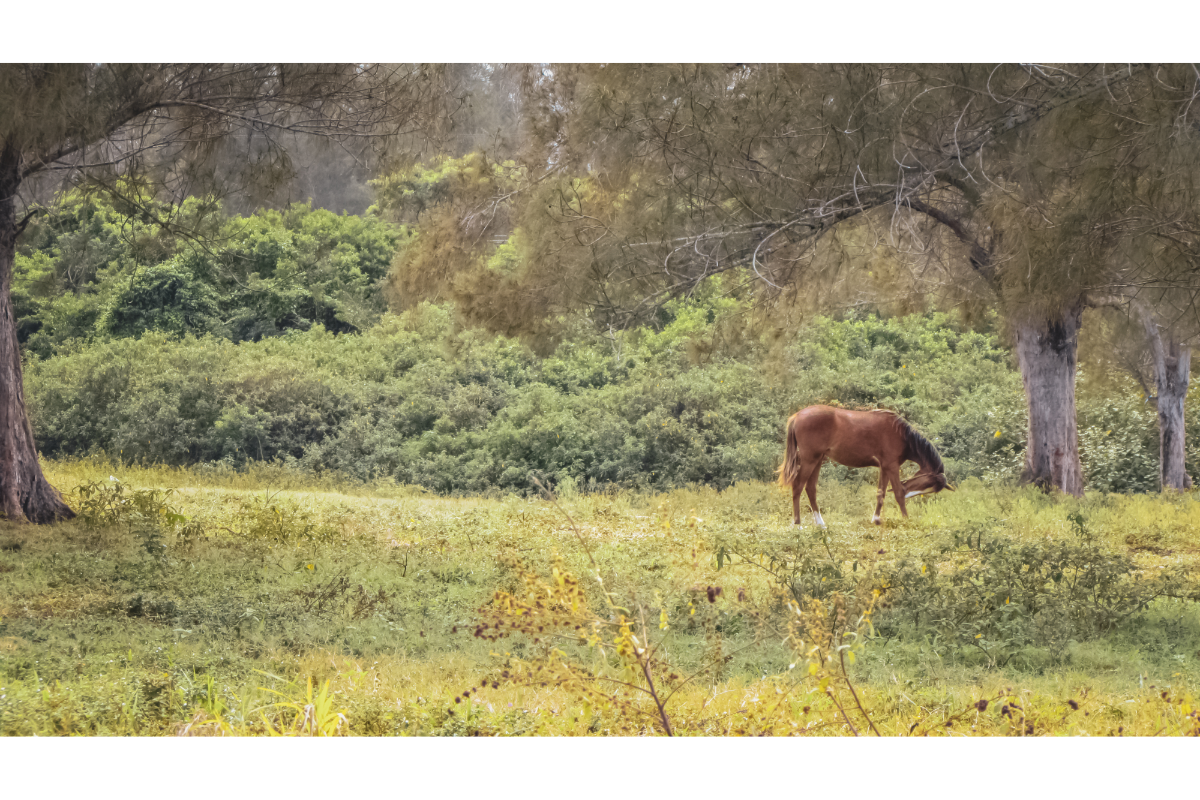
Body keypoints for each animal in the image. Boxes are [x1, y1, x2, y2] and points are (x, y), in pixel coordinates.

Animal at [778, 405, 953, 527]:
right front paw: (906, 520)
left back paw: (820, 523)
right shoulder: (892, 466)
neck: (902, 435)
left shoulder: (884, 467)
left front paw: (876, 519)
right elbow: (898, 493)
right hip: (810, 460)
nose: (911, 494)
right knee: (798, 486)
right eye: (927, 483)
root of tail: (797, 416)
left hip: (818, 460)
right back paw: (797, 524)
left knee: (810, 488)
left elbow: (881, 493)